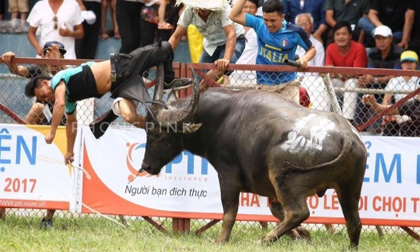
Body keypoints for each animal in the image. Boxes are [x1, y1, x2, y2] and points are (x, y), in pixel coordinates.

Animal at [141, 69, 364, 248]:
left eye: (156, 134)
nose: (146, 166)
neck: (220, 119)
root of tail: (347, 136)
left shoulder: (228, 176)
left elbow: (229, 212)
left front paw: (221, 240)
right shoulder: (268, 190)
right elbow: (275, 211)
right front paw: (303, 234)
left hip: (284, 179)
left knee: (298, 213)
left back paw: (265, 239)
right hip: (349, 188)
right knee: (354, 222)